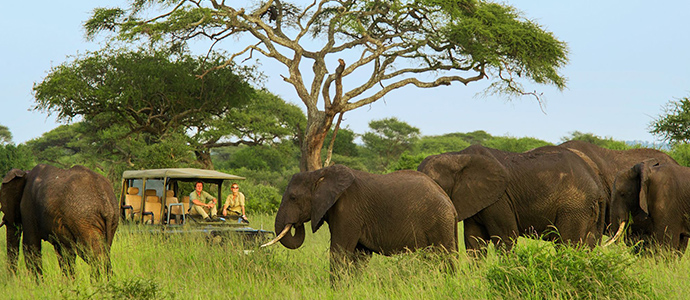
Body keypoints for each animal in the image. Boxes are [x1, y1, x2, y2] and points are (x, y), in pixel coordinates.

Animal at [260, 165, 460, 278]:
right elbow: (359, 257)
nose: (295, 223)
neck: (319, 174)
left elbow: (339, 252)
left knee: (444, 257)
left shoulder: (348, 211)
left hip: (440, 222)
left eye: (293, 198)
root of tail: (451, 204)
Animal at [414, 144, 600, 252]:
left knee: (568, 243)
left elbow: (505, 238)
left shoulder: (500, 199)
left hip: (574, 205)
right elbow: (474, 241)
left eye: (437, 186)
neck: (457, 157)